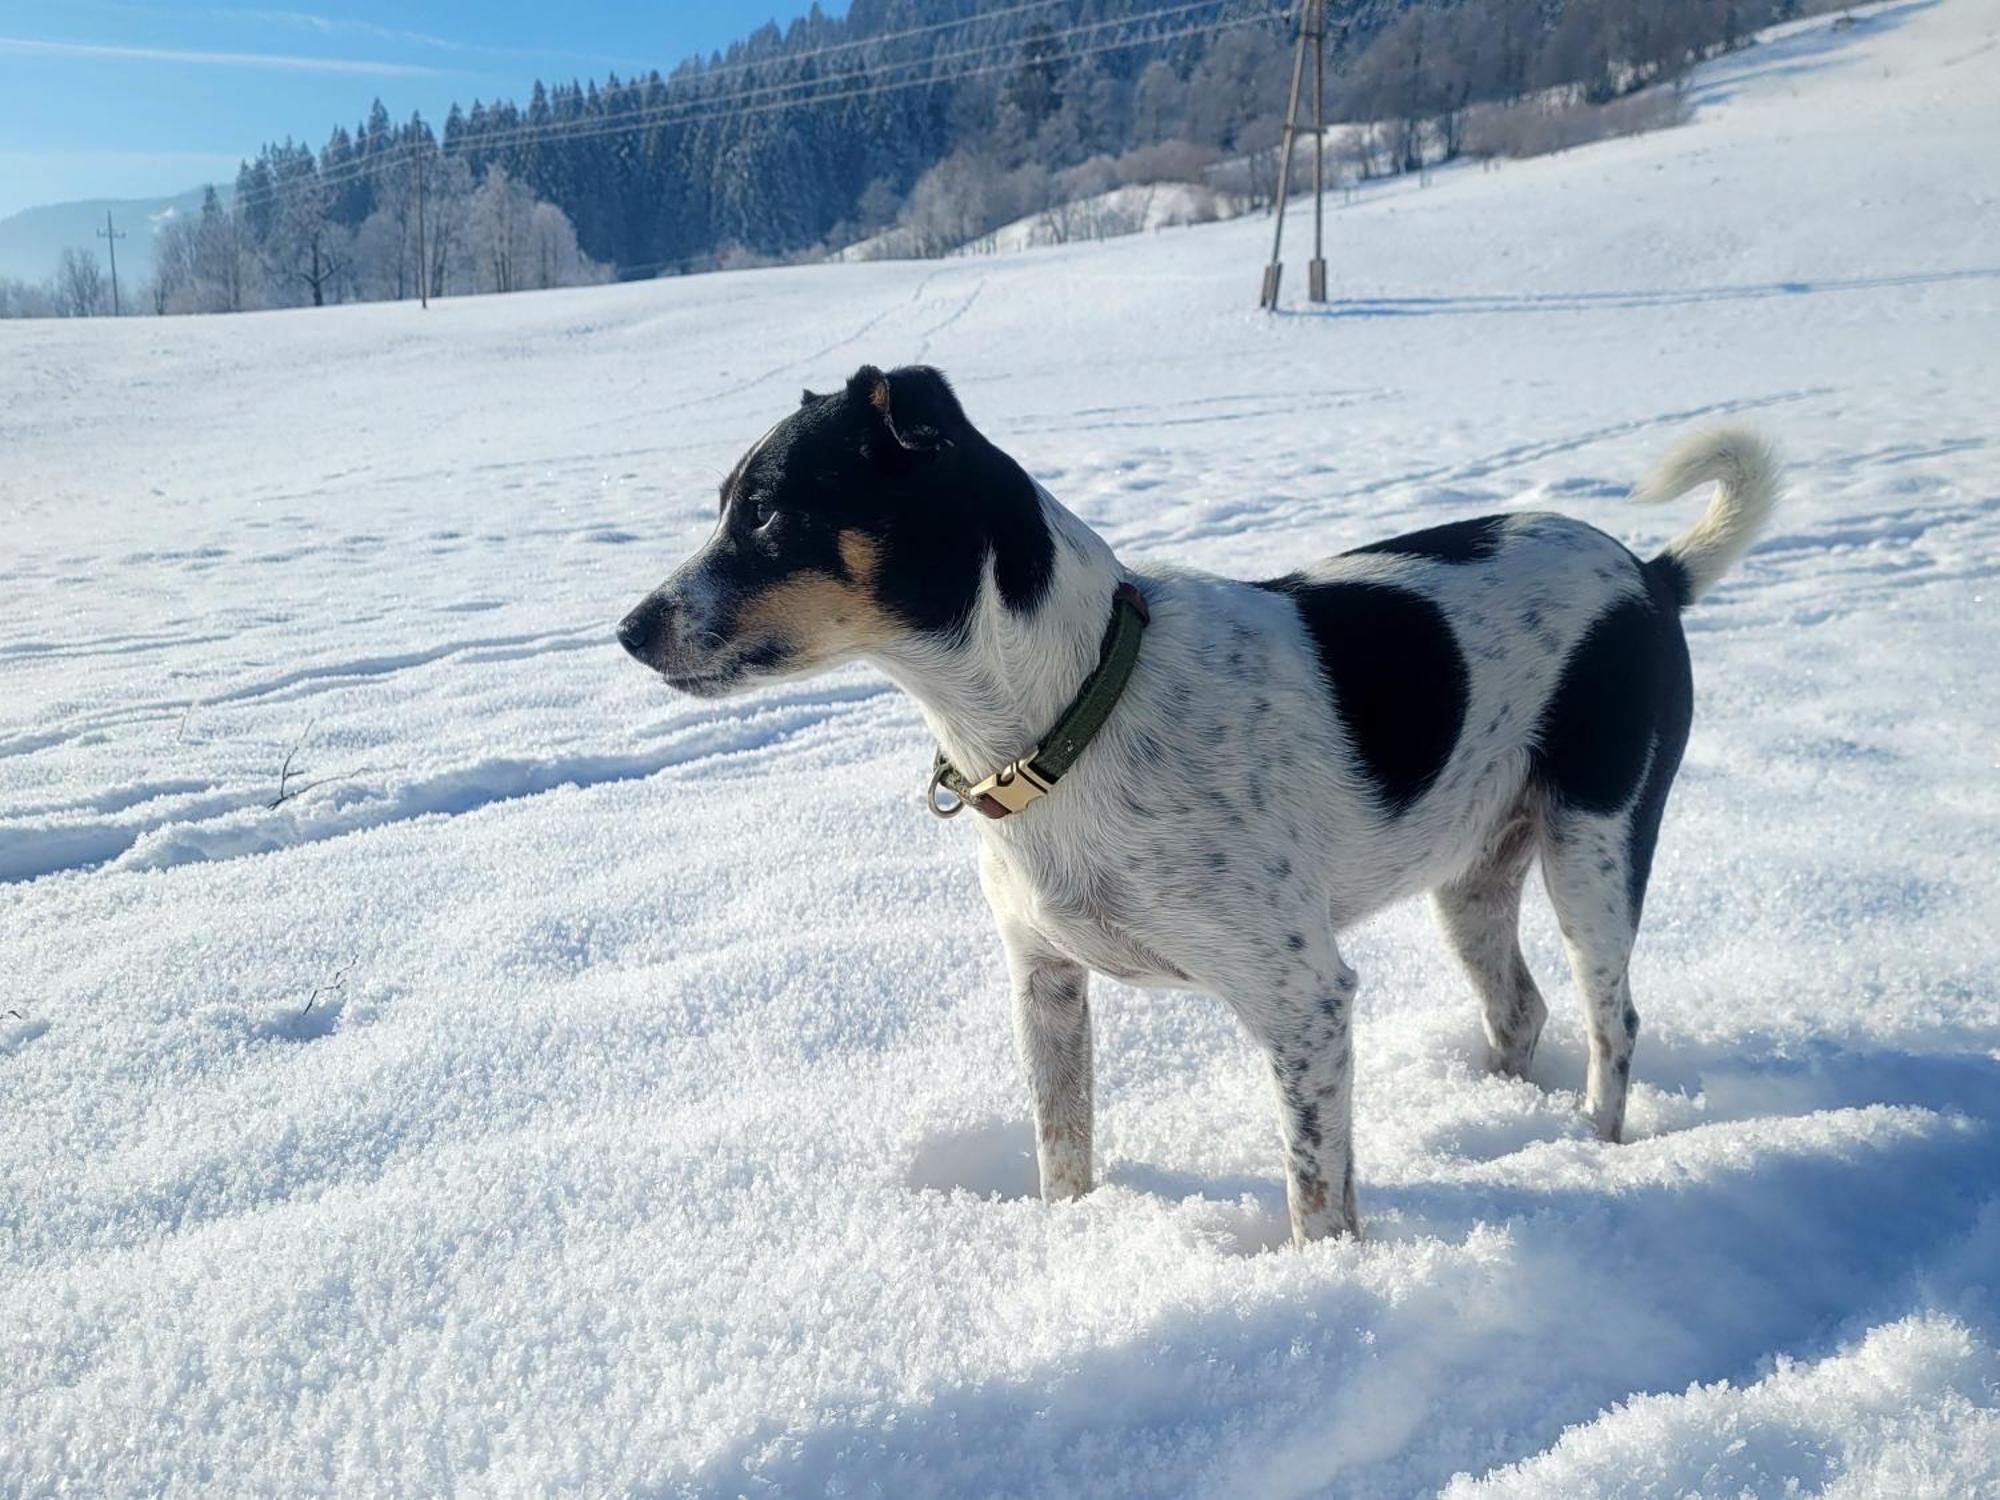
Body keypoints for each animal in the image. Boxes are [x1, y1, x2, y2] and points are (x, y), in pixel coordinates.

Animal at [620, 364, 1784, 1248]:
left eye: (767, 511)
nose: (627, 631)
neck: (1066, 713)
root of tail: (1649, 572)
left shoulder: (1303, 998)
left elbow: (1316, 1189)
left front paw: (1325, 1286)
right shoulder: (1044, 983)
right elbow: (1064, 1151)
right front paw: (1066, 1249)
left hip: (1593, 844)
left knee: (1610, 1017)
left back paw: (1591, 1153)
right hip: (1471, 875)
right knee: (1519, 1009)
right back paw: (1493, 1113)